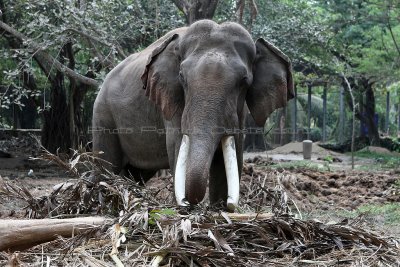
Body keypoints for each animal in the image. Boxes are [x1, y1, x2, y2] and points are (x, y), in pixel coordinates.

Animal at [93, 19, 294, 211]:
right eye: (182, 77)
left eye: (244, 81)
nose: (187, 201)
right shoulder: (172, 101)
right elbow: (177, 145)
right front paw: (186, 206)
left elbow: (233, 150)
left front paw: (221, 208)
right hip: (103, 115)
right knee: (107, 163)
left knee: (135, 172)